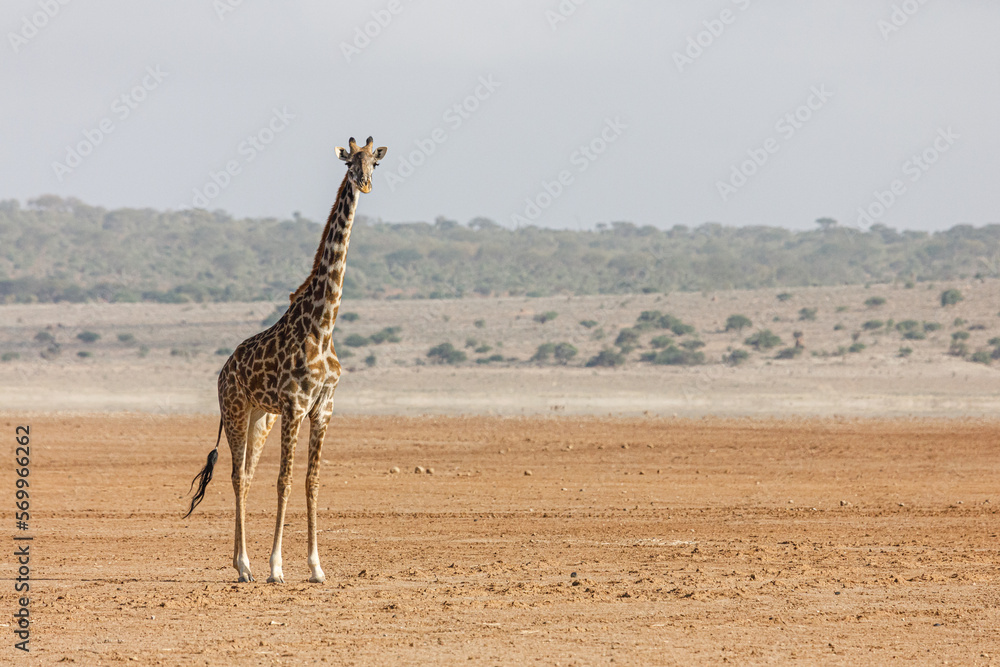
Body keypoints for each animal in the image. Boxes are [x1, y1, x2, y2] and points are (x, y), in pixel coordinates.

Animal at [185, 136, 387, 584]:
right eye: (349, 163)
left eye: (375, 163)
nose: (364, 184)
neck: (323, 325)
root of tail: (223, 370)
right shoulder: (295, 406)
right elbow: (284, 481)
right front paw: (276, 567)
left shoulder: (324, 407)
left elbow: (311, 481)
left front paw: (316, 568)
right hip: (237, 410)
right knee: (237, 476)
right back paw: (245, 566)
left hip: (261, 417)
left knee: (245, 474)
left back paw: (242, 564)